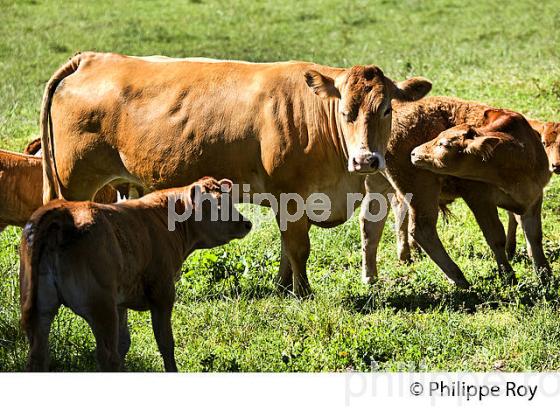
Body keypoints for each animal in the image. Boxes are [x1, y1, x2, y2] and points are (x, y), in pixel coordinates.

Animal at [19, 176, 252, 372]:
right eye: (218, 205)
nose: (247, 223)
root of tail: (64, 213)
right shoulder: (162, 294)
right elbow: (165, 342)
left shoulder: (120, 302)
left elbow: (125, 343)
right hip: (100, 307)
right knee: (107, 356)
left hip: (41, 307)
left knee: (38, 356)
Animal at [40, 51, 434, 296]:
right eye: (344, 111)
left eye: (386, 109)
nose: (366, 160)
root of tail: (92, 58)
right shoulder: (291, 195)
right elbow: (298, 247)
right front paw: (304, 293)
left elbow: (287, 248)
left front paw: (282, 287)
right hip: (74, 179)